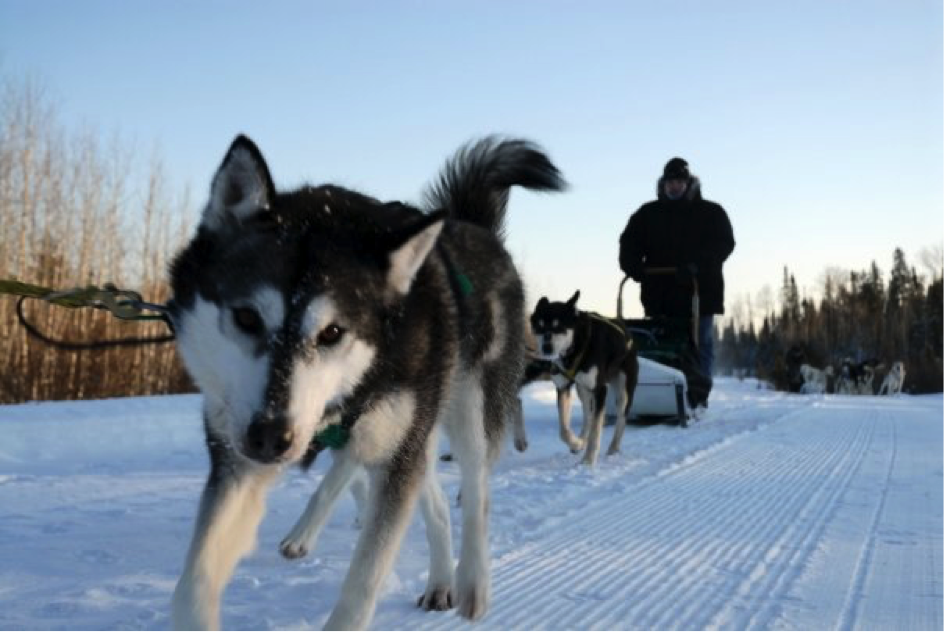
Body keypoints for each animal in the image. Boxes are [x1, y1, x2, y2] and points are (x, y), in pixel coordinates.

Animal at [528, 292, 636, 464]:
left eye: (559, 326)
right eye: (540, 326)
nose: (547, 348)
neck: (575, 348)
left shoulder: (600, 390)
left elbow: (596, 431)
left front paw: (588, 461)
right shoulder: (563, 387)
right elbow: (564, 430)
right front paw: (577, 443)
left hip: (622, 393)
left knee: (621, 419)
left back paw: (613, 448)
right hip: (582, 390)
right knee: (588, 414)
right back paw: (581, 440)